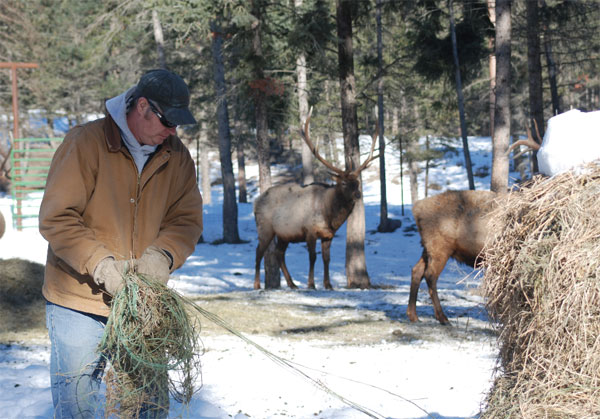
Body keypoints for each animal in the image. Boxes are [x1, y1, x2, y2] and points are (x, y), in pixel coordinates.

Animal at [252, 112, 376, 292]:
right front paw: (311, 284)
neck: (330, 216)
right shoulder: (309, 231)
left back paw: (292, 283)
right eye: (344, 183)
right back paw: (257, 284)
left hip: (284, 234)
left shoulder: (328, 235)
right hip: (265, 227)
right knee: (259, 252)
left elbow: (326, 259)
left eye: (357, 182)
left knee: (278, 253)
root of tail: (255, 201)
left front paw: (328, 284)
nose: (358, 194)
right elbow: (312, 257)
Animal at [408, 190, 496, 324]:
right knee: (430, 275)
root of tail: (416, 209)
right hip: (440, 247)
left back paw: (413, 316)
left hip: (428, 248)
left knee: (417, 270)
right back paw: (442, 317)